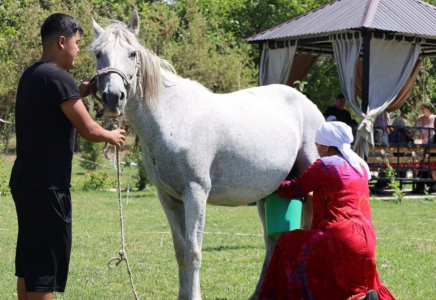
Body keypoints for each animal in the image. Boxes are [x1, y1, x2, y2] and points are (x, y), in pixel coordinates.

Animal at [91, 11, 324, 300]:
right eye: (98, 53)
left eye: (132, 53)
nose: (113, 97)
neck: (172, 117)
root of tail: (308, 104)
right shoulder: (168, 197)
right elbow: (180, 251)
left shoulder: (196, 193)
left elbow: (193, 251)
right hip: (270, 193)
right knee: (272, 242)